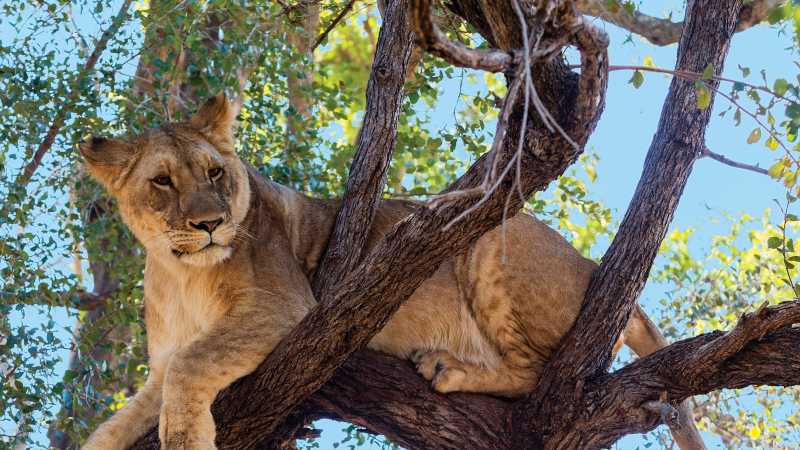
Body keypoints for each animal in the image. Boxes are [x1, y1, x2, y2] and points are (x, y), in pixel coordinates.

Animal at [80, 94, 702, 450]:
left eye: (215, 172)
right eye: (162, 182)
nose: (211, 223)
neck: (178, 272)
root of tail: (592, 264)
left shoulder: (286, 307)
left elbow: (194, 365)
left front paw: (186, 436)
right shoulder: (160, 366)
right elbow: (113, 425)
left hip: (489, 241)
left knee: (539, 376)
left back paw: (448, 367)